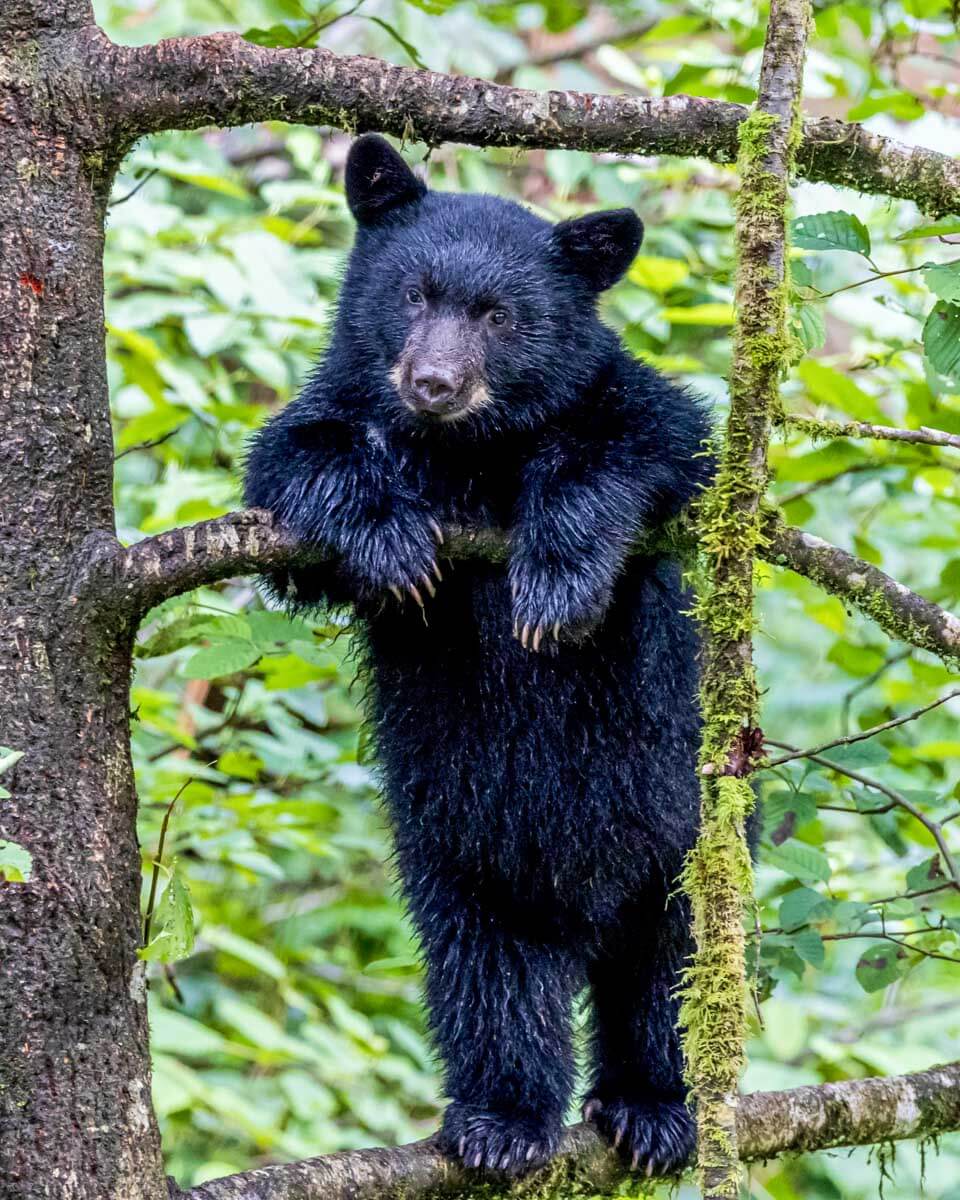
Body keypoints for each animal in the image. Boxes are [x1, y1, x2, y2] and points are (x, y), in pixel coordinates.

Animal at [244, 134, 713, 1178]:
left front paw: (556, 579)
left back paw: (654, 1105)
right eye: (415, 293)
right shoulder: (327, 418)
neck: (468, 454)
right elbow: (297, 461)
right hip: (462, 860)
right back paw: (504, 1121)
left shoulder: (634, 406)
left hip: (683, 845)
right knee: (490, 986)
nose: (434, 385)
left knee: (672, 972)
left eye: (500, 315)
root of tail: (580, 914)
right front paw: (388, 538)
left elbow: (642, 442)